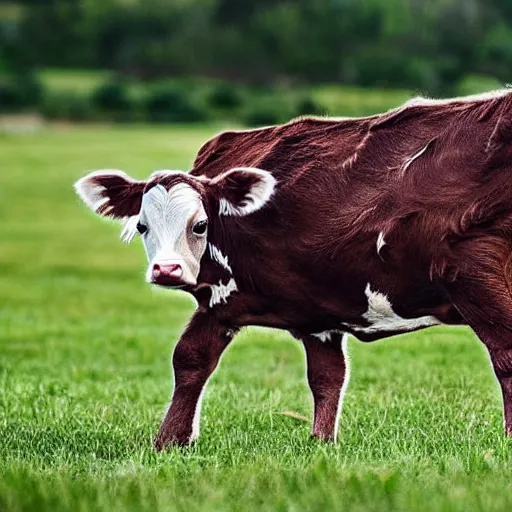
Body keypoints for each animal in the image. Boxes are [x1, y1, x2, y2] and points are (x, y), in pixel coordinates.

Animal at [76, 90, 512, 450]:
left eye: (199, 225)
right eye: (142, 226)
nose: (167, 270)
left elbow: (189, 359)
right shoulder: (313, 317)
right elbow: (322, 376)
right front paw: (171, 442)